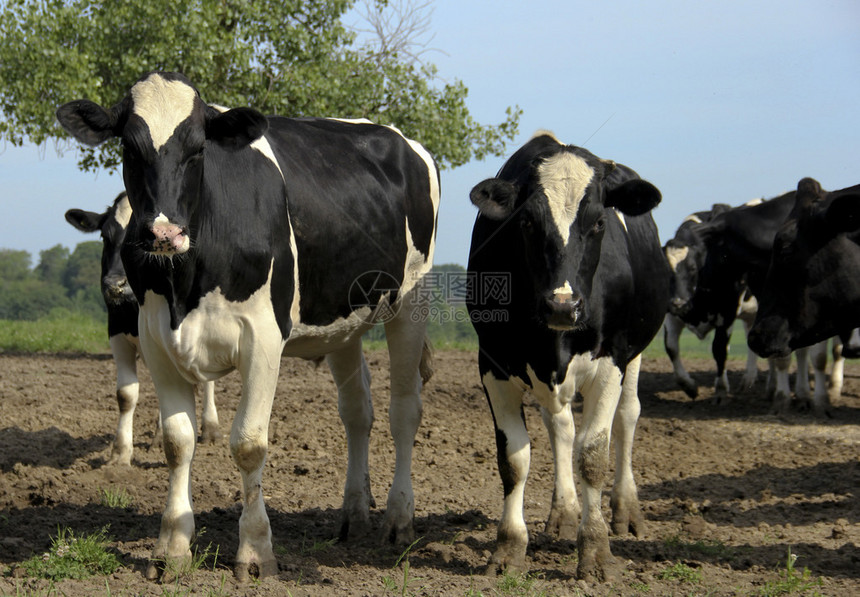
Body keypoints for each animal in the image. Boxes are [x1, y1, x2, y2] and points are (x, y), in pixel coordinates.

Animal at [66, 192, 220, 466]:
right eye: (104, 236)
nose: (115, 284)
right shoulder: (116, 332)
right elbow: (126, 394)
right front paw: (120, 453)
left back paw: (210, 428)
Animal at [466, 132, 668, 584]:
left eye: (598, 222)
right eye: (525, 222)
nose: (562, 305)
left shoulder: (611, 360)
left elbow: (592, 454)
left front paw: (595, 552)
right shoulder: (493, 362)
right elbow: (514, 457)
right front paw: (509, 547)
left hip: (636, 352)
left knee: (627, 416)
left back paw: (626, 511)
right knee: (560, 425)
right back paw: (563, 513)